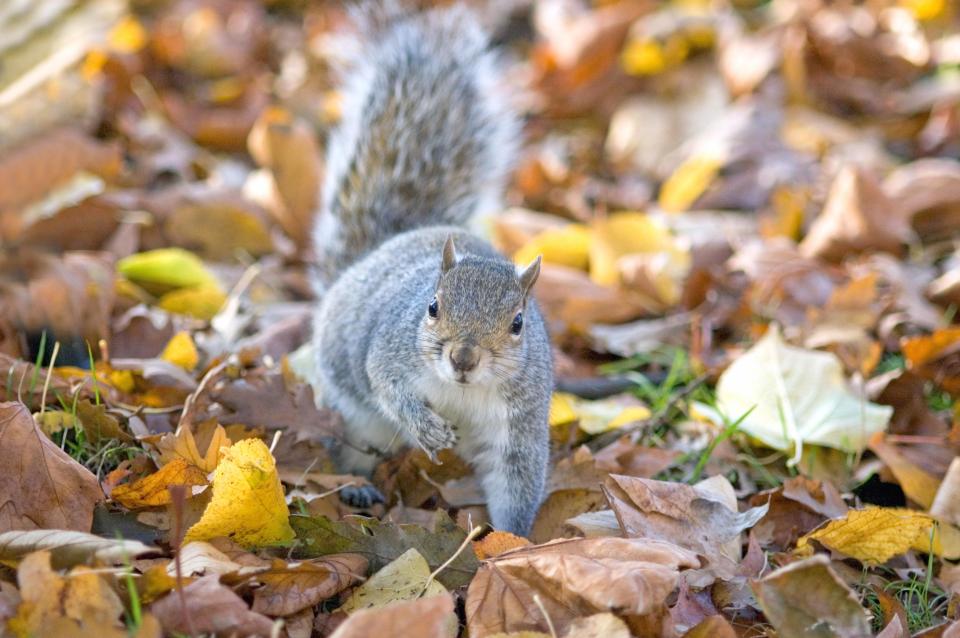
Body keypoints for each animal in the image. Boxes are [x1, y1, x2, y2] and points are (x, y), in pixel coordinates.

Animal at [312, 3, 552, 540]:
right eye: (432, 306)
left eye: (519, 324)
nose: (463, 358)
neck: (460, 393)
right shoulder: (390, 350)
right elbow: (385, 382)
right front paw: (426, 427)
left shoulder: (520, 421)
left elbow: (516, 480)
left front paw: (513, 542)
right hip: (354, 417)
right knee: (350, 447)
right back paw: (357, 488)